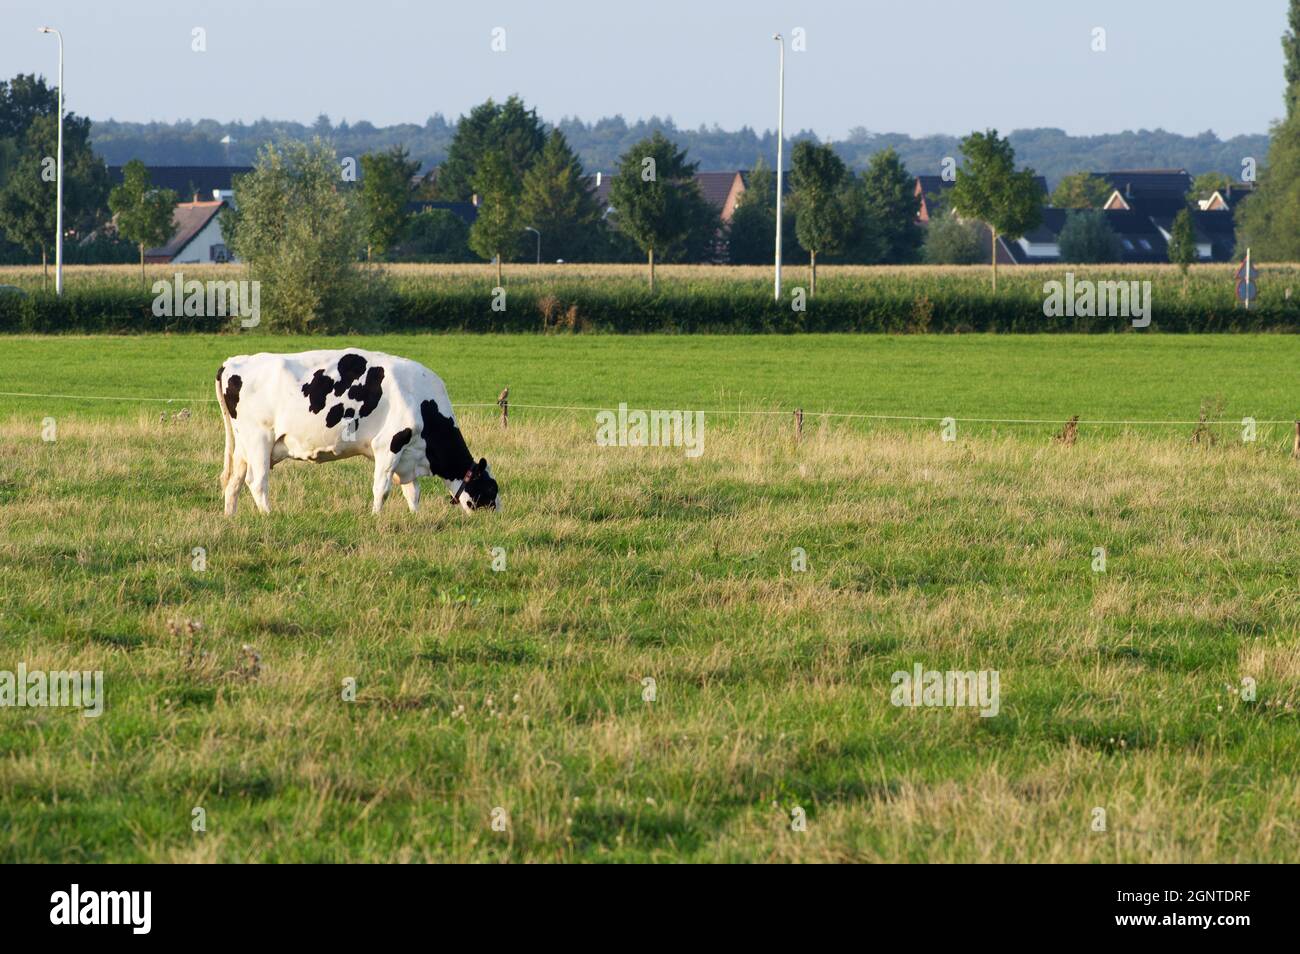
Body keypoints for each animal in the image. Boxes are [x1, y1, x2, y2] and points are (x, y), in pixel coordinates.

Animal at [215, 349, 499, 516]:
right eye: (490, 489)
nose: (497, 515)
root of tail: (234, 361)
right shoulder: (389, 444)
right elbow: (382, 488)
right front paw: (376, 518)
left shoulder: (407, 453)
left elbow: (412, 492)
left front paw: (415, 518)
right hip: (259, 440)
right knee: (257, 482)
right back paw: (269, 517)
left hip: (244, 446)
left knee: (234, 482)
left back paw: (231, 519)